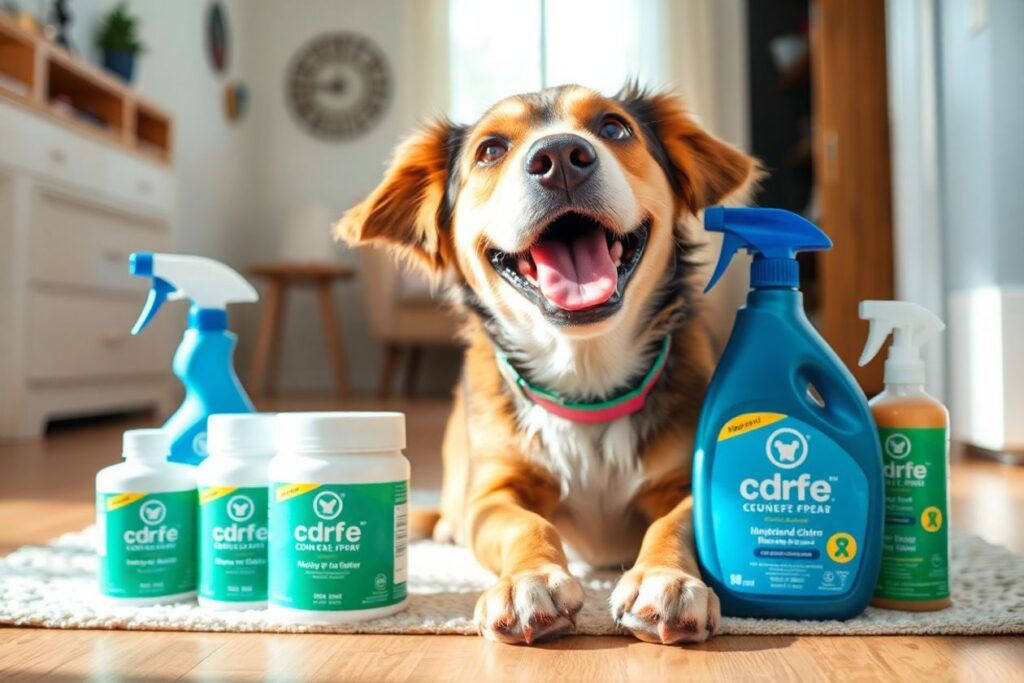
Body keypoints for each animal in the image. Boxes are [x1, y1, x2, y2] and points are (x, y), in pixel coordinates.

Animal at [337, 83, 761, 647]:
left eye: (613, 128)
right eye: (491, 149)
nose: (560, 157)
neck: (586, 382)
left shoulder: (689, 481)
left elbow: (674, 524)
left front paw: (665, 578)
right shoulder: (495, 493)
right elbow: (525, 523)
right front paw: (529, 581)